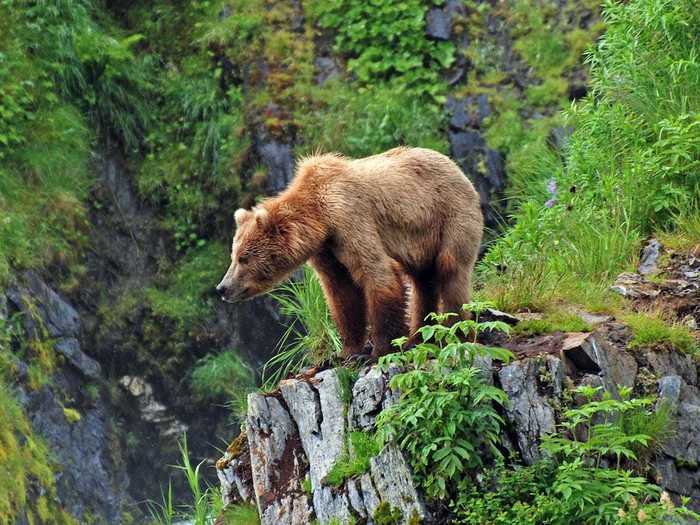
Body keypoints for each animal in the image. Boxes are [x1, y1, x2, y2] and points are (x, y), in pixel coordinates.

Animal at [216, 147, 484, 358]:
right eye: (233, 256)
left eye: (243, 258)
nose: (222, 288)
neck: (320, 220)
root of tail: (456, 166)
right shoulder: (327, 250)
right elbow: (342, 292)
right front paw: (347, 350)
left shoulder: (350, 218)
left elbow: (377, 274)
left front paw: (380, 349)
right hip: (421, 242)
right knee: (422, 281)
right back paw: (418, 336)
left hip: (450, 216)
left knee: (451, 270)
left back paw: (456, 331)